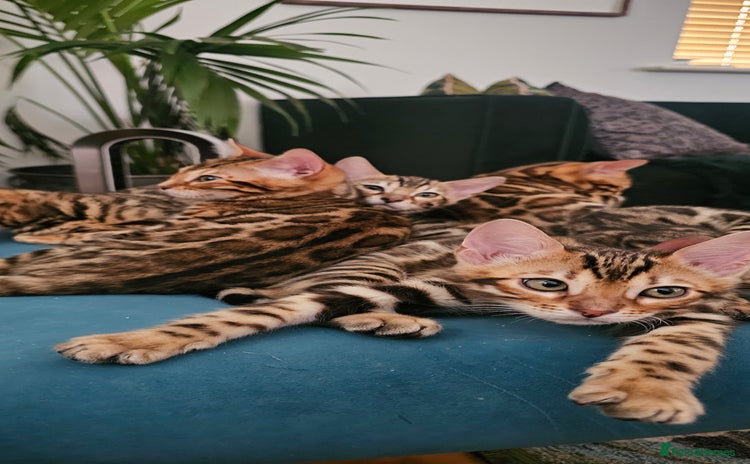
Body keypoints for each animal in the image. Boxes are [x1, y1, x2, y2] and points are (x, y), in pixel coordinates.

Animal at [54, 218, 750, 426]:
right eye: (547, 283)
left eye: (661, 290)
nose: (595, 312)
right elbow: (279, 309)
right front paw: (130, 338)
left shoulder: (700, 310)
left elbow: (676, 344)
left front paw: (643, 388)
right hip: (382, 268)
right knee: (294, 290)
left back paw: (384, 324)